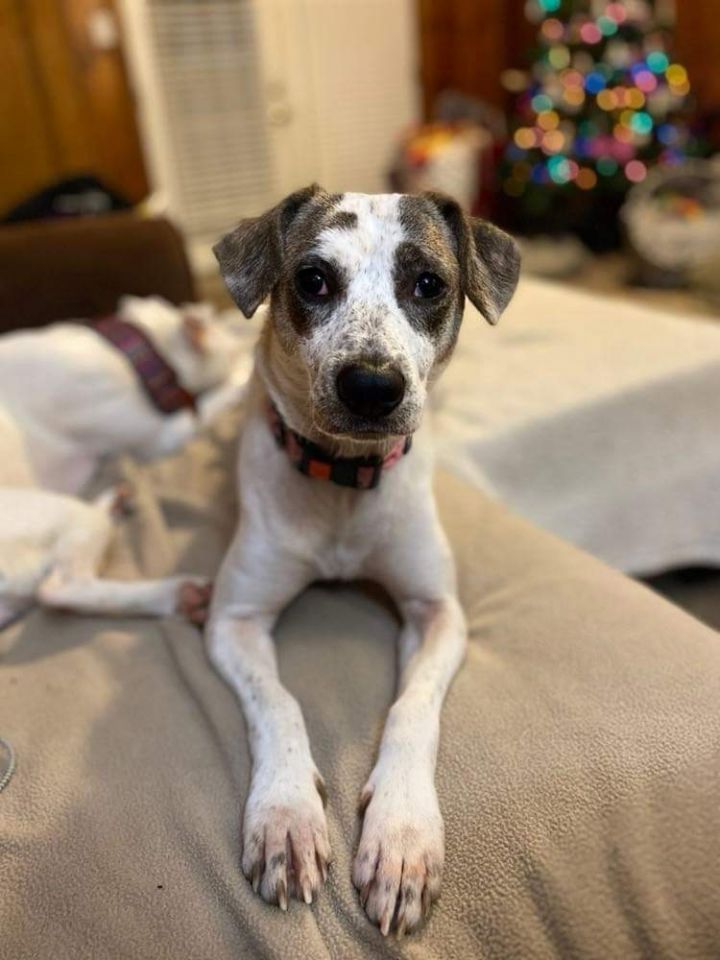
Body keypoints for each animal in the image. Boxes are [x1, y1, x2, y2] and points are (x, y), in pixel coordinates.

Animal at [0, 296, 248, 628]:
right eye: (238, 333)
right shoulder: (160, 437)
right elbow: (213, 399)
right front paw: (245, 373)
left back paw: (111, 506)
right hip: (59, 513)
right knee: (59, 589)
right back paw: (176, 591)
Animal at [211, 184, 520, 932]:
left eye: (429, 284)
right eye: (313, 279)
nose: (372, 386)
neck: (343, 480)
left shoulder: (438, 612)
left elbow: (412, 709)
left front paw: (402, 836)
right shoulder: (233, 618)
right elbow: (278, 702)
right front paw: (285, 816)